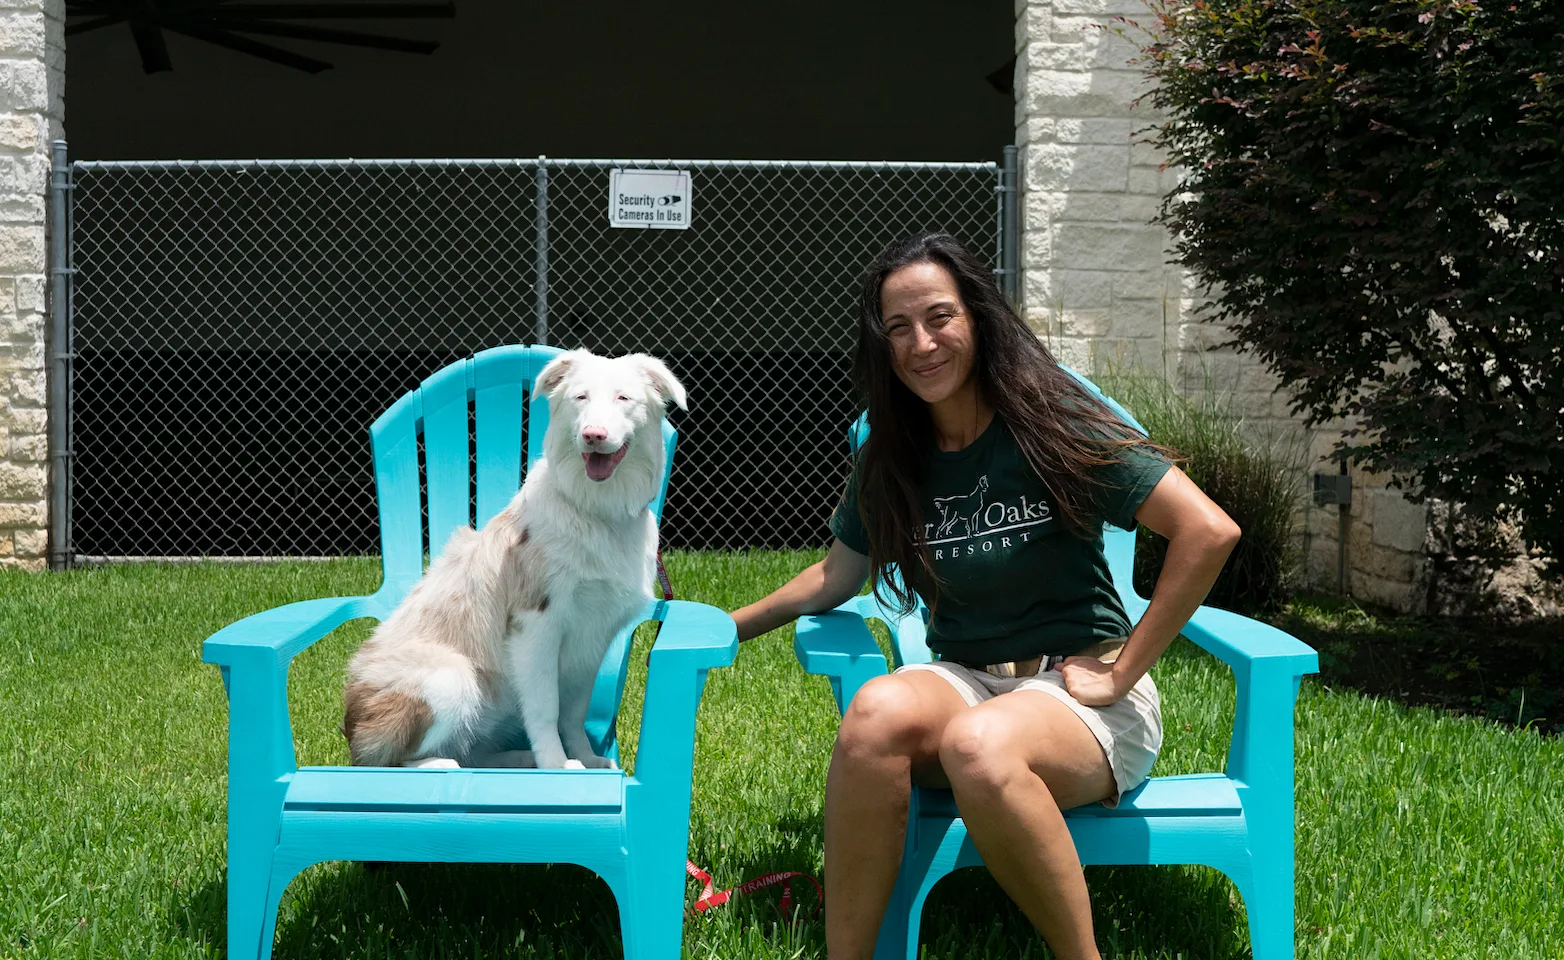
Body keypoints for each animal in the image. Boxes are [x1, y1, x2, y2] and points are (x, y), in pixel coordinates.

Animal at [345, 350, 688, 772]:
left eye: (624, 398)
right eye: (580, 397)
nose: (593, 434)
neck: (595, 510)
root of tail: (352, 731)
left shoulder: (594, 635)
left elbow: (573, 713)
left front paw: (586, 758)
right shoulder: (536, 624)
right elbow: (545, 709)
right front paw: (557, 766)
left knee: (475, 754)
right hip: (449, 676)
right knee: (390, 761)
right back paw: (441, 764)